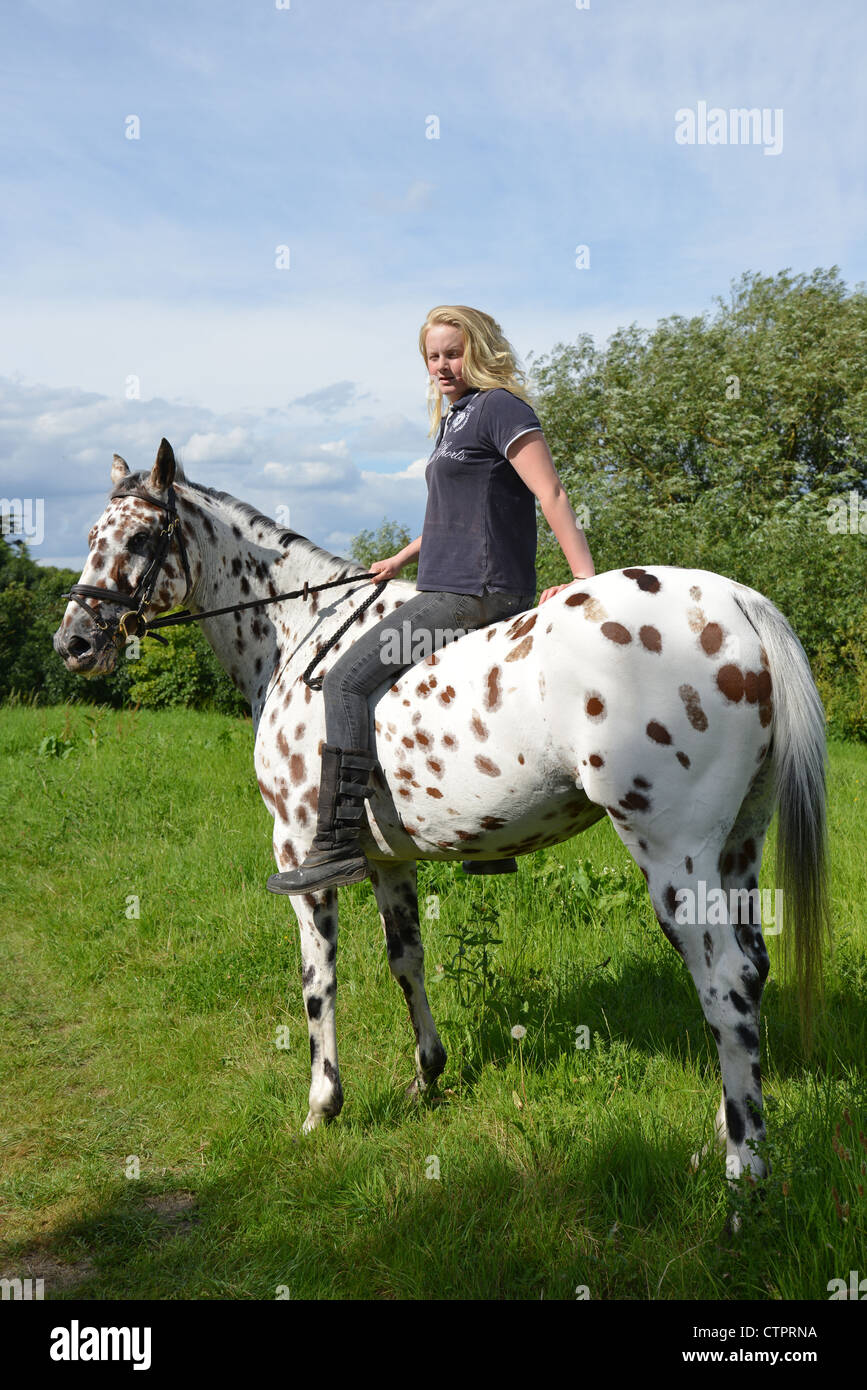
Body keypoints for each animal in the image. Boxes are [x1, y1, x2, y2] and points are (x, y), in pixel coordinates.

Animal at [52, 442, 828, 1195]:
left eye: (141, 536)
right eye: (90, 537)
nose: (74, 642)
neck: (298, 636)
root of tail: (738, 601)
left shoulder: (300, 856)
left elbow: (317, 981)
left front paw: (322, 1108)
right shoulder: (388, 860)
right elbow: (407, 960)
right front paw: (427, 1076)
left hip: (674, 853)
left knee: (724, 983)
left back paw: (742, 1173)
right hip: (738, 846)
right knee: (750, 972)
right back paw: (727, 1142)